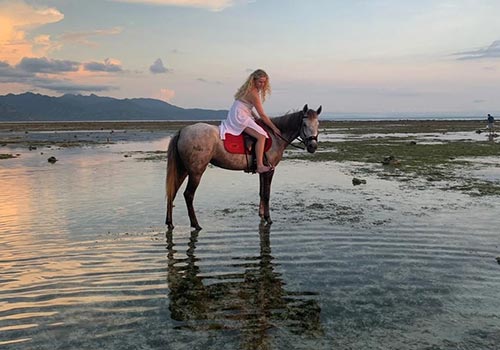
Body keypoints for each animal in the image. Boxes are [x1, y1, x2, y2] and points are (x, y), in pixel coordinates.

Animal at [164, 104, 320, 230]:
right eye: (304, 124)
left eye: (318, 124)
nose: (313, 146)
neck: (275, 136)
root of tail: (183, 131)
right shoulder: (269, 171)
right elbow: (267, 194)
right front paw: (268, 219)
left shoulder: (262, 172)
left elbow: (261, 193)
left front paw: (261, 215)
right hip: (196, 172)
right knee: (188, 195)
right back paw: (195, 224)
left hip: (184, 170)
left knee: (172, 192)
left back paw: (170, 223)